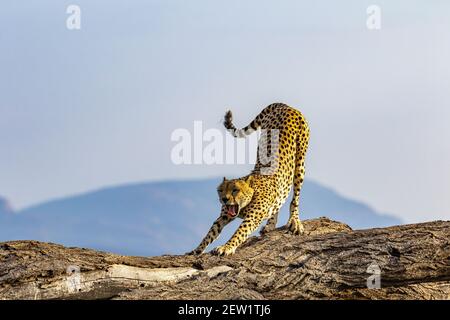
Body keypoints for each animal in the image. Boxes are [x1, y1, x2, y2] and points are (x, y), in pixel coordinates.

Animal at [186, 104, 310, 256]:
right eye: (220, 190)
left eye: (235, 190)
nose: (224, 199)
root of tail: (284, 106)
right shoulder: (225, 215)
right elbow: (211, 232)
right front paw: (196, 250)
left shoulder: (252, 218)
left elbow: (239, 233)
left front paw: (226, 247)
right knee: (279, 202)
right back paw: (270, 225)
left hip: (300, 162)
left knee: (295, 198)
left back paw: (295, 221)